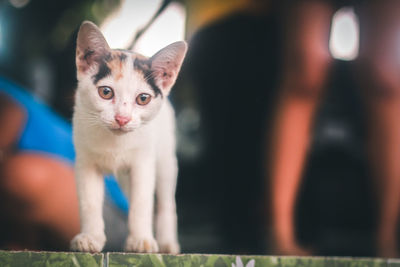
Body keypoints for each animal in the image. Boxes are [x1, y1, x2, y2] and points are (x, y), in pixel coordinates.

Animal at [69, 19, 187, 254]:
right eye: (106, 92)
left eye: (143, 98)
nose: (122, 118)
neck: (115, 143)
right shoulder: (85, 162)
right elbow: (89, 201)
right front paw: (91, 237)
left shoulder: (143, 163)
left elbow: (142, 201)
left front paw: (141, 239)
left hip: (165, 159)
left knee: (165, 201)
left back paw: (167, 242)